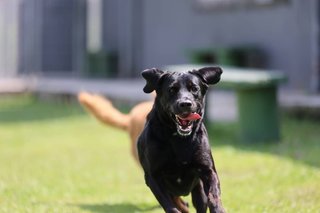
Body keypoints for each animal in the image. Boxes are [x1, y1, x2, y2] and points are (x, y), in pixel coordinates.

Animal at [138, 67, 225, 213]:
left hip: (198, 190)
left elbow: (213, 195)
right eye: (172, 90)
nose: (185, 104)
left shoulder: (208, 170)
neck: (180, 140)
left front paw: (218, 209)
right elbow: (169, 205)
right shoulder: (154, 176)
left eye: (194, 88)